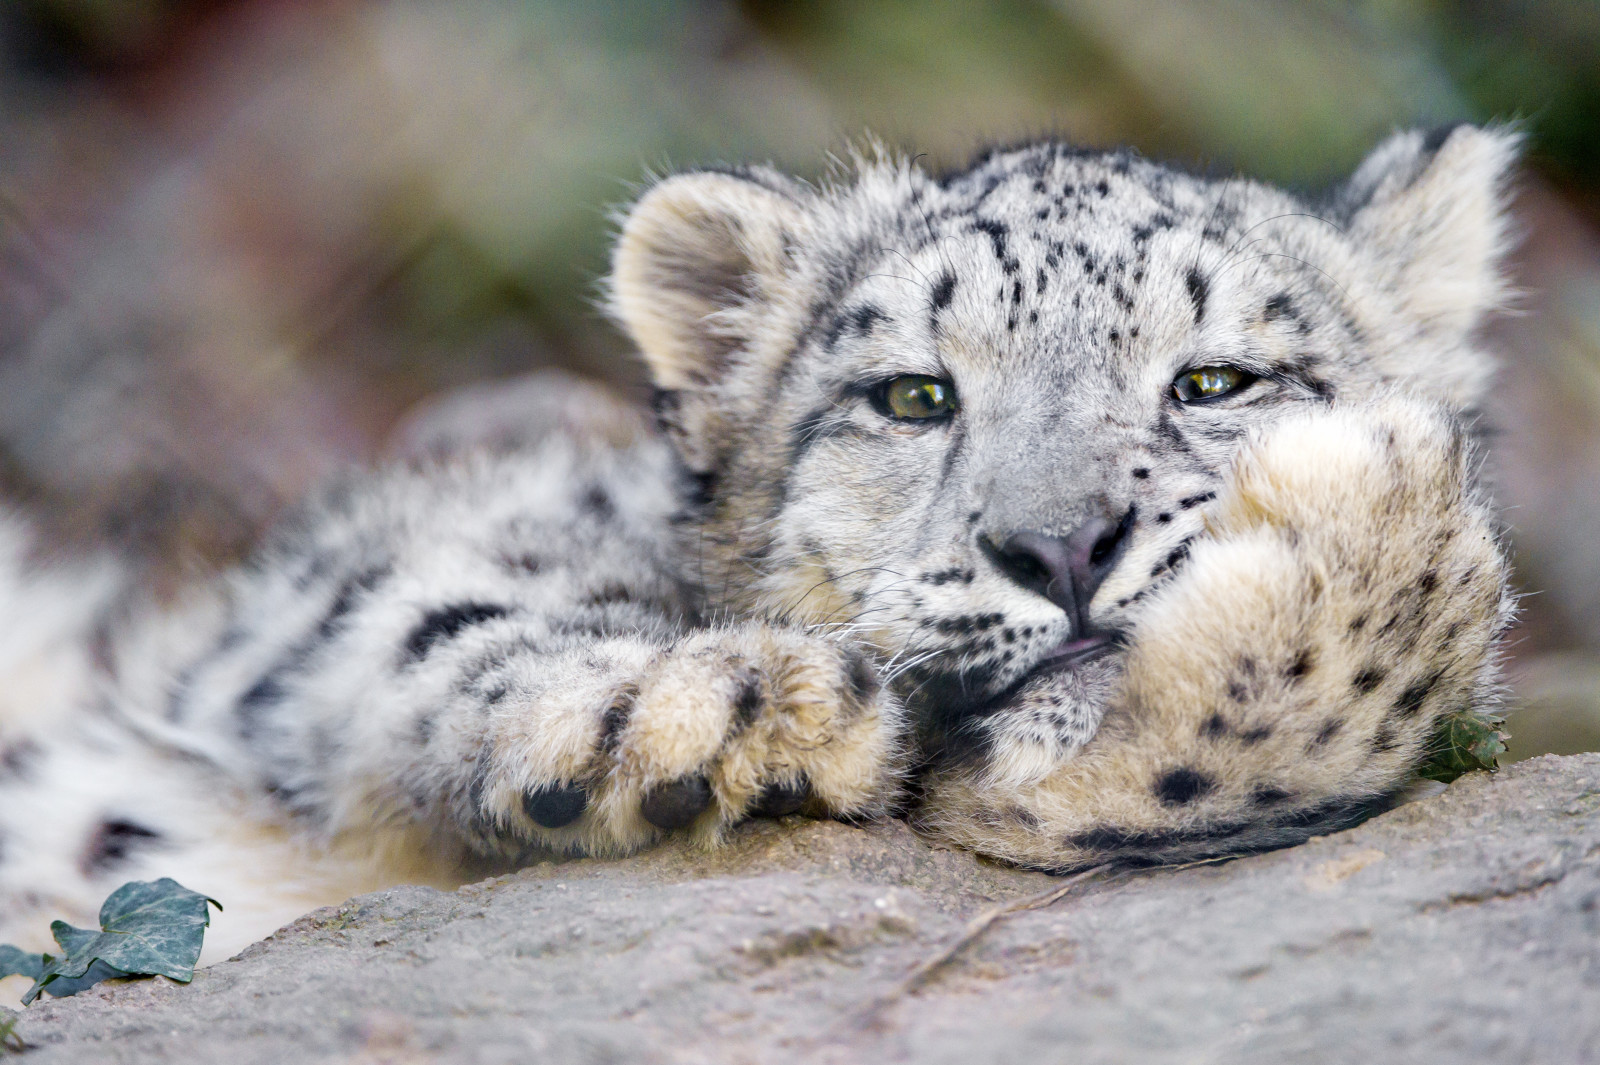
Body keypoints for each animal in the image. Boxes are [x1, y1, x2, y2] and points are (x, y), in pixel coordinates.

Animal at [0, 126, 1516, 972]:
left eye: (1215, 380)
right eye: (913, 395)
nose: (1062, 545)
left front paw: (1375, 518)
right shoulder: (330, 597)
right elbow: (438, 609)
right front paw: (709, 710)